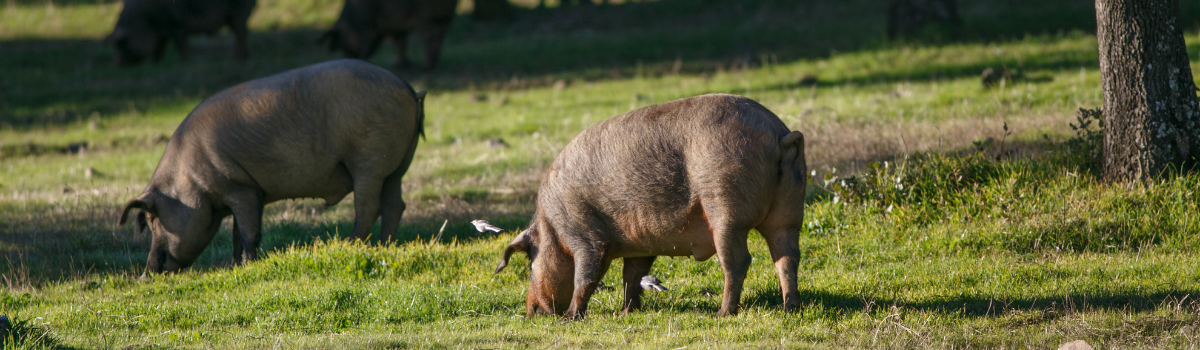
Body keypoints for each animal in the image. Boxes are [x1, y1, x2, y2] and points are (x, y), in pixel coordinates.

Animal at [105, 0, 255, 66]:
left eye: (121, 44)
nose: (115, 64)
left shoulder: (177, 25)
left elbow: (180, 46)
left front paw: (185, 61)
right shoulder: (161, 34)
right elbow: (158, 50)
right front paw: (155, 64)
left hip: (238, 13)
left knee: (241, 34)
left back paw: (237, 58)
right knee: (242, 33)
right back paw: (243, 57)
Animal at [118, 59, 427, 273]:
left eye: (154, 220)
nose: (146, 274)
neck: (190, 178)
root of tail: (409, 89)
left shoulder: (240, 188)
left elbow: (249, 233)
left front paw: (247, 265)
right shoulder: (245, 194)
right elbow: (237, 234)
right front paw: (234, 267)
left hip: (369, 159)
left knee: (369, 207)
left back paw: (350, 244)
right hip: (396, 166)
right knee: (394, 205)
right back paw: (385, 246)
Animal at [321, 0, 460, 69]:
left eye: (341, 42)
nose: (345, 57)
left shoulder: (368, 27)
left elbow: (365, 48)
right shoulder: (396, 29)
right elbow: (400, 44)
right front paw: (402, 64)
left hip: (424, 15)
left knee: (429, 39)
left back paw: (426, 66)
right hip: (446, 16)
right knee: (439, 38)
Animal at [492, 93, 811, 318]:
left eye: (530, 262)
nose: (530, 312)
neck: (551, 225)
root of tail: (778, 134)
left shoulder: (583, 233)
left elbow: (587, 275)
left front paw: (571, 317)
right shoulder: (640, 246)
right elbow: (631, 276)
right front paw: (625, 312)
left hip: (725, 206)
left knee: (739, 261)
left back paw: (722, 314)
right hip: (790, 209)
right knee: (787, 256)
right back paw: (790, 308)